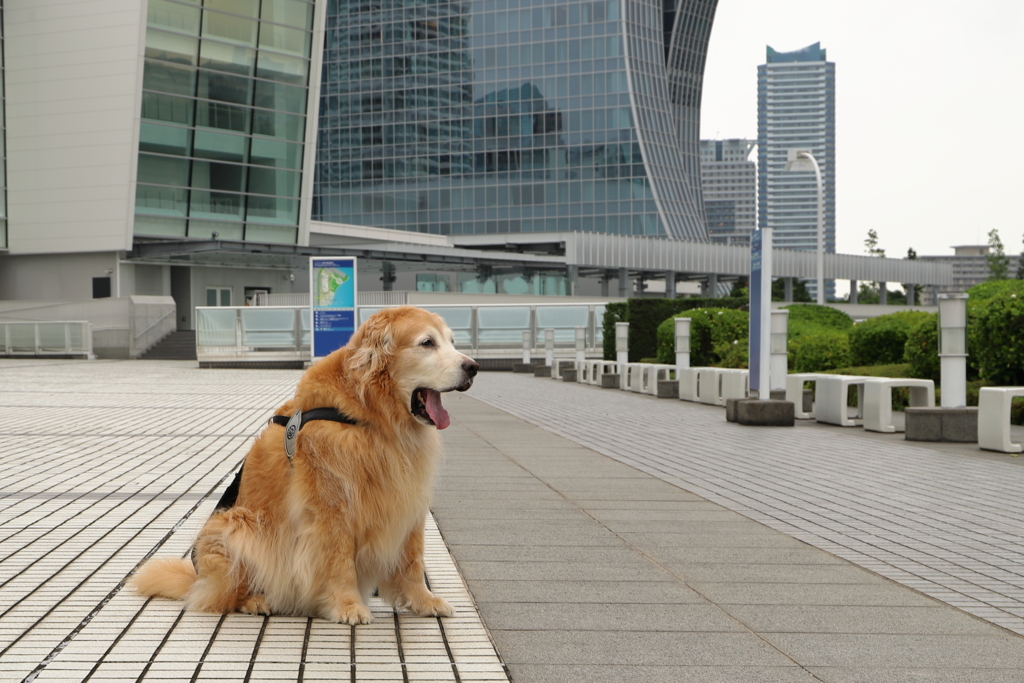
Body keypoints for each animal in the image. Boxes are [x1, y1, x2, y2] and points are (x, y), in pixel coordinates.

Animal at [130, 305, 477, 626]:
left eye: (452, 341)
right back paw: (256, 600)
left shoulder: (407, 499)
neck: (370, 417)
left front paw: (423, 600)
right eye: (427, 343)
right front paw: (348, 605)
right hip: (236, 525)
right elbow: (339, 561)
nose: (473, 367)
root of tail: (197, 577)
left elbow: (411, 559)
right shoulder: (332, 505)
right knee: (225, 595)